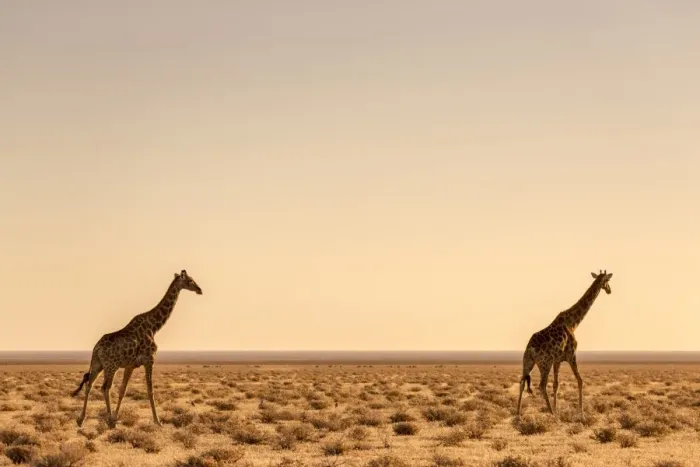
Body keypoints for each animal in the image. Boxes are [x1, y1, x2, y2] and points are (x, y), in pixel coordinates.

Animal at [72, 269, 203, 428]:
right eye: (190, 280)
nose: (199, 290)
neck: (154, 327)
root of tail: (96, 348)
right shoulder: (149, 359)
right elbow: (150, 390)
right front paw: (158, 421)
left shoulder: (131, 365)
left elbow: (123, 390)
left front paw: (116, 417)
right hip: (111, 366)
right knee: (105, 387)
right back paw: (108, 420)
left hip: (98, 364)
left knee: (89, 384)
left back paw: (81, 419)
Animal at [516, 270, 613, 418]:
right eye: (607, 281)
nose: (609, 290)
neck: (573, 323)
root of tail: (530, 348)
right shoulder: (571, 355)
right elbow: (580, 381)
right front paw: (581, 412)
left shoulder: (558, 360)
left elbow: (556, 384)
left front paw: (557, 409)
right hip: (545, 363)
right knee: (541, 385)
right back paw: (550, 412)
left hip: (527, 362)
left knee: (522, 382)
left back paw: (518, 412)